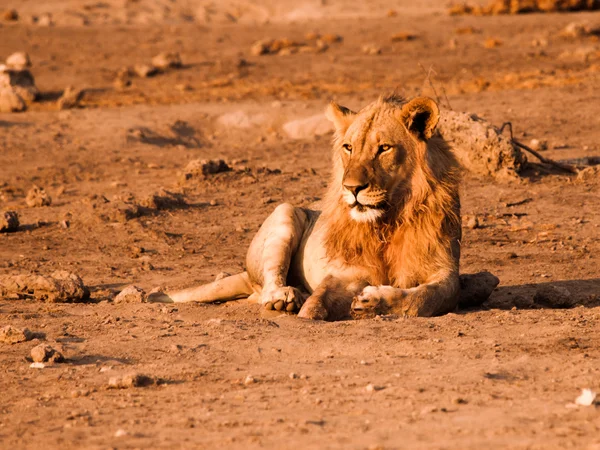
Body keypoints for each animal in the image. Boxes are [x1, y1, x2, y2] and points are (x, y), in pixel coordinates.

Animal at [149, 95, 496, 320]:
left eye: (384, 148)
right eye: (348, 148)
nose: (352, 189)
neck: (387, 219)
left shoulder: (443, 269)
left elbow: (427, 297)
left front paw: (373, 301)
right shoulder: (345, 271)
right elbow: (318, 302)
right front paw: (309, 308)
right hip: (286, 213)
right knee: (265, 288)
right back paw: (286, 298)